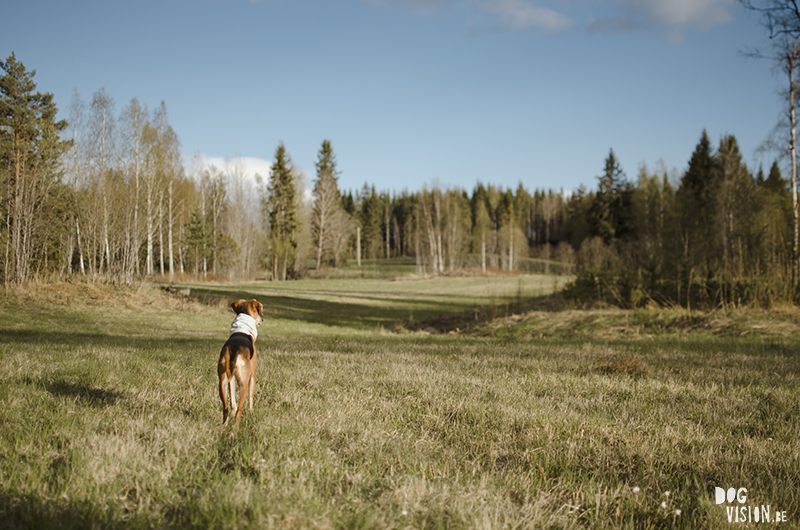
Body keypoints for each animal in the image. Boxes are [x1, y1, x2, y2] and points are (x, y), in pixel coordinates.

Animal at [217, 296, 264, 424]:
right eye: (259, 311)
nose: (262, 320)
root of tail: (233, 352)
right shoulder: (252, 376)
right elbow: (250, 400)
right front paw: (251, 412)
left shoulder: (231, 378)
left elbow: (232, 402)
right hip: (244, 382)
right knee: (239, 410)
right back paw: (235, 428)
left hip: (223, 381)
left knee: (226, 407)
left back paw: (224, 425)